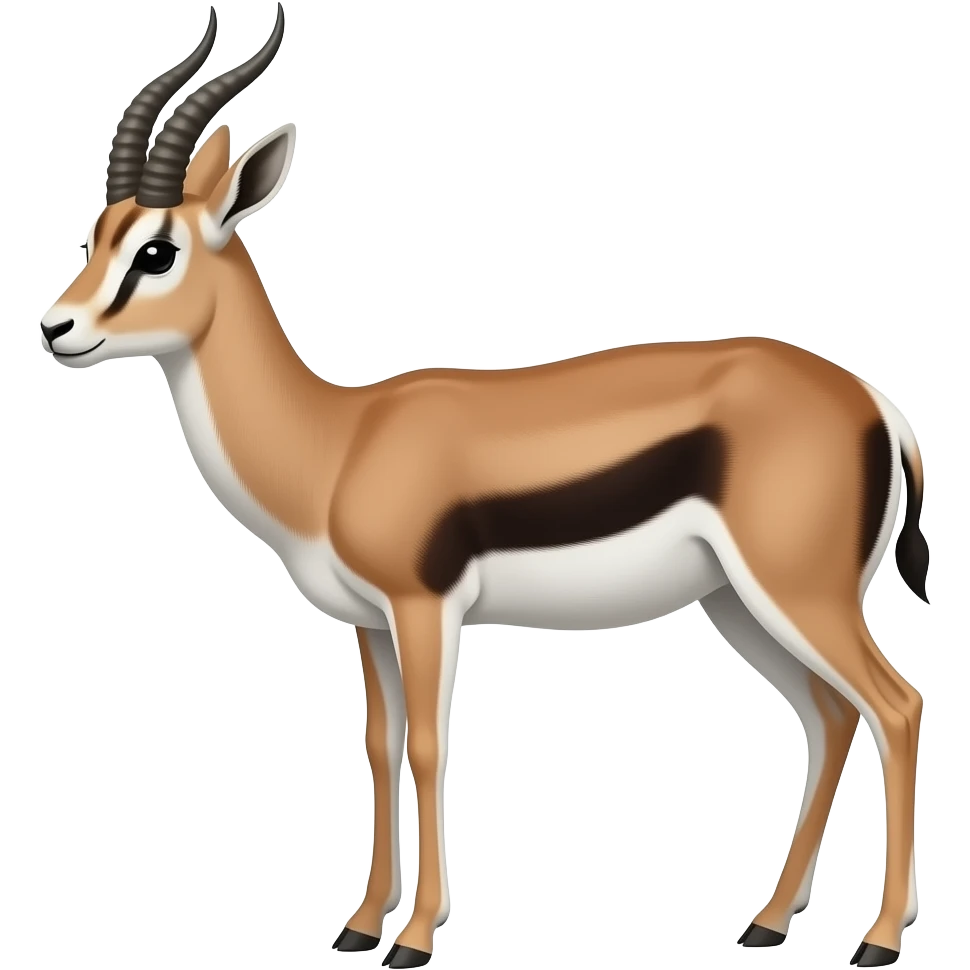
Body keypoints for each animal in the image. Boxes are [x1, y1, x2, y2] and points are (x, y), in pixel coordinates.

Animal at [36, 6, 930, 968]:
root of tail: (877, 405)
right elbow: (380, 745)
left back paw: (879, 939)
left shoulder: (425, 607)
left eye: (157, 251)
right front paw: (359, 923)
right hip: (738, 600)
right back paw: (766, 923)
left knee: (894, 705)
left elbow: (431, 747)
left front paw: (416, 936)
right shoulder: (369, 622)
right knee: (831, 717)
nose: (58, 328)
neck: (337, 442)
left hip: (801, 592)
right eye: (96, 234)